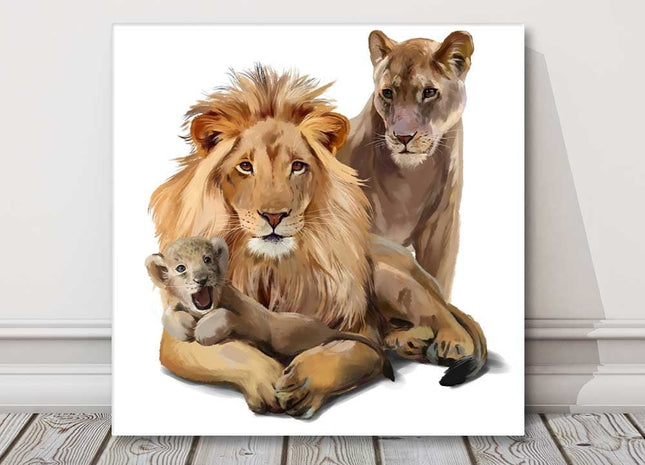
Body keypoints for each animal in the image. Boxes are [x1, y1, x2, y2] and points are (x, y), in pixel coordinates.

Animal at [150, 66, 486, 418]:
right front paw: (266, 377)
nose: (274, 216)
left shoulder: (357, 329)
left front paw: (304, 380)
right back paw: (406, 341)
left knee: (441, 314)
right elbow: (228, 351)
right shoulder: (174, 342)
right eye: (245, 166)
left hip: (391, 276)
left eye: (298, 166)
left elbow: (346, 352)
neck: (272, 268)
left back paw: (449, 343)